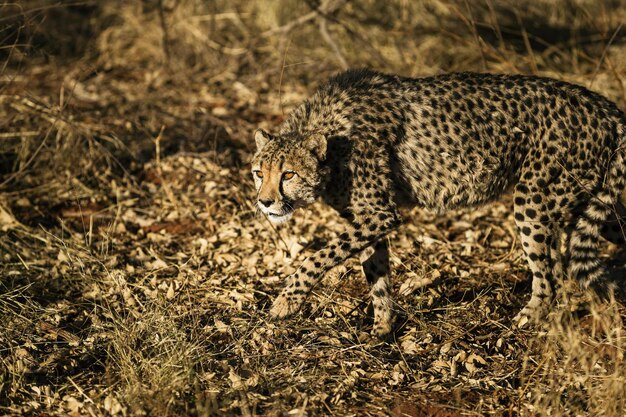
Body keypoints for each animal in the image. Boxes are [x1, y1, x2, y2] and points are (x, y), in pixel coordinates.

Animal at [252, 67, 624, 334]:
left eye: (288, 175)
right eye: (258, 172)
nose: (266, 202)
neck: (332, 142)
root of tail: (605, 106)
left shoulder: (380, 214)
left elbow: (317, 257)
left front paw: (285, 303)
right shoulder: (366, 219)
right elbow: (376, 270)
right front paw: (382, 329)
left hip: (534, 200)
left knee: (549, 277)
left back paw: (528, 319)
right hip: (591, 205)